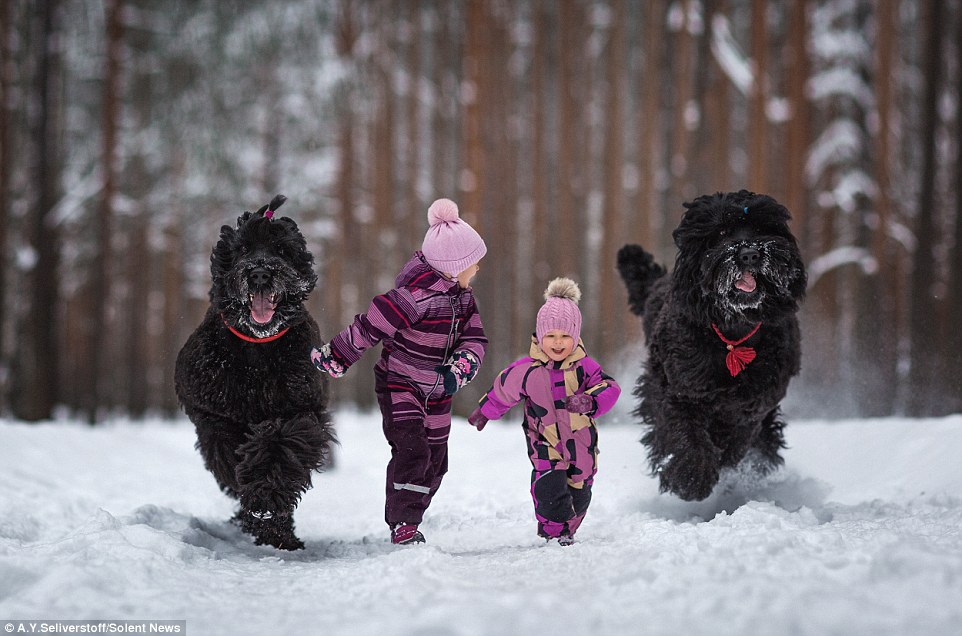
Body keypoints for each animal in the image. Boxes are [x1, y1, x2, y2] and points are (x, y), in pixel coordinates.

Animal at [174, 196, 336, 548]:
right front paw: (258, 509)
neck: (257, 350)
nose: (260, 273)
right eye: (243, 250)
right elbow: (230, 453)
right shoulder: (213, 414)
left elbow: (280, 443)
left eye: (282, 250)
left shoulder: (301, 409)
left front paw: (266, 497)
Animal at [616, 190, 804, 502]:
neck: (732, 334)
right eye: (721, 233)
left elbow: (741, 430)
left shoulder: (757, 400)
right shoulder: (678, 390)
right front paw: (692, 478)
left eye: (761, 228)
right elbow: (684, 432)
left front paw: (722, 460)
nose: (749, 253)